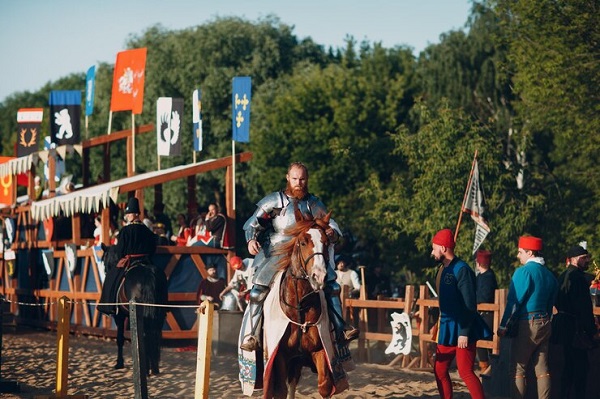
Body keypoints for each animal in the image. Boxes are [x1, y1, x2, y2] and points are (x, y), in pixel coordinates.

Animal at [99, 244, 168, 376]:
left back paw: (146, 369)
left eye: (104, 260)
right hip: (158, 314)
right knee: (154, 335)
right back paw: (154, 368)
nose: (105, 271)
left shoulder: (119, 316)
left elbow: (120, 338)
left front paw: (119, 363)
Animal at [266, 216, 338, 399]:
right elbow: (280, 391)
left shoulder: (319, 350)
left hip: (297, 361)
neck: (299, 307)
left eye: (326, 242)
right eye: (303, 242)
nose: (319, 276)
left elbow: (325, 386)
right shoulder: (280, 356)